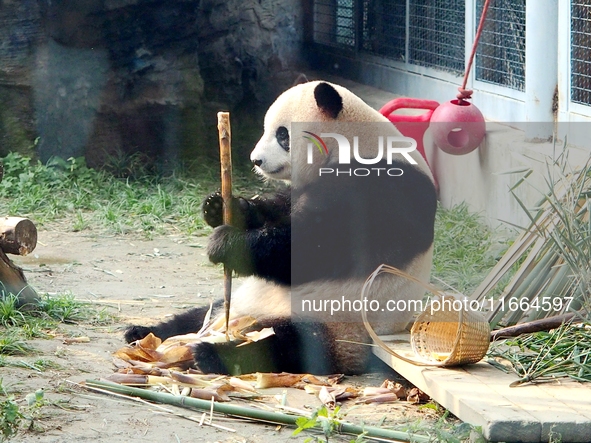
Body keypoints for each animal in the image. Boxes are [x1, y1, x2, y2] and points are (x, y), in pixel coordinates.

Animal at [125, 81, 438, 376]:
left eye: (282, 134)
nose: (256, 160)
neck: (355, 143)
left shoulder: (383, 191)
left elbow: (315, 249)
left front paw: (227, 243)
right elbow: (281, 210)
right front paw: (224, 208)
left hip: (338, 325)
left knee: (287, 343)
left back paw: (213, 354)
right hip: (239, 303)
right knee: (197, 314)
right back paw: (144, 334)